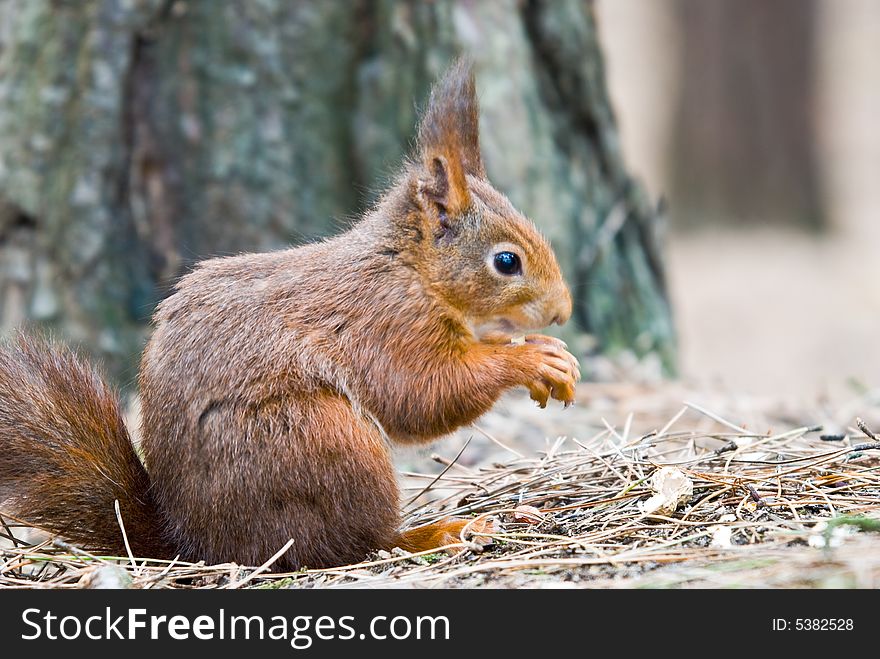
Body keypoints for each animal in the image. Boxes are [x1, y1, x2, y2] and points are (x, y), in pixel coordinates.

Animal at [0, 59, 576, 568]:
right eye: (506, 261)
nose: (563, 312)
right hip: (321, 441)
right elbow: (422, 395)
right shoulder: (386, 322)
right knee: (360, 542)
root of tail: (194, 543)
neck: (409, 268)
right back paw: (440, 533)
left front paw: (548, 354)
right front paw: (532, 360)